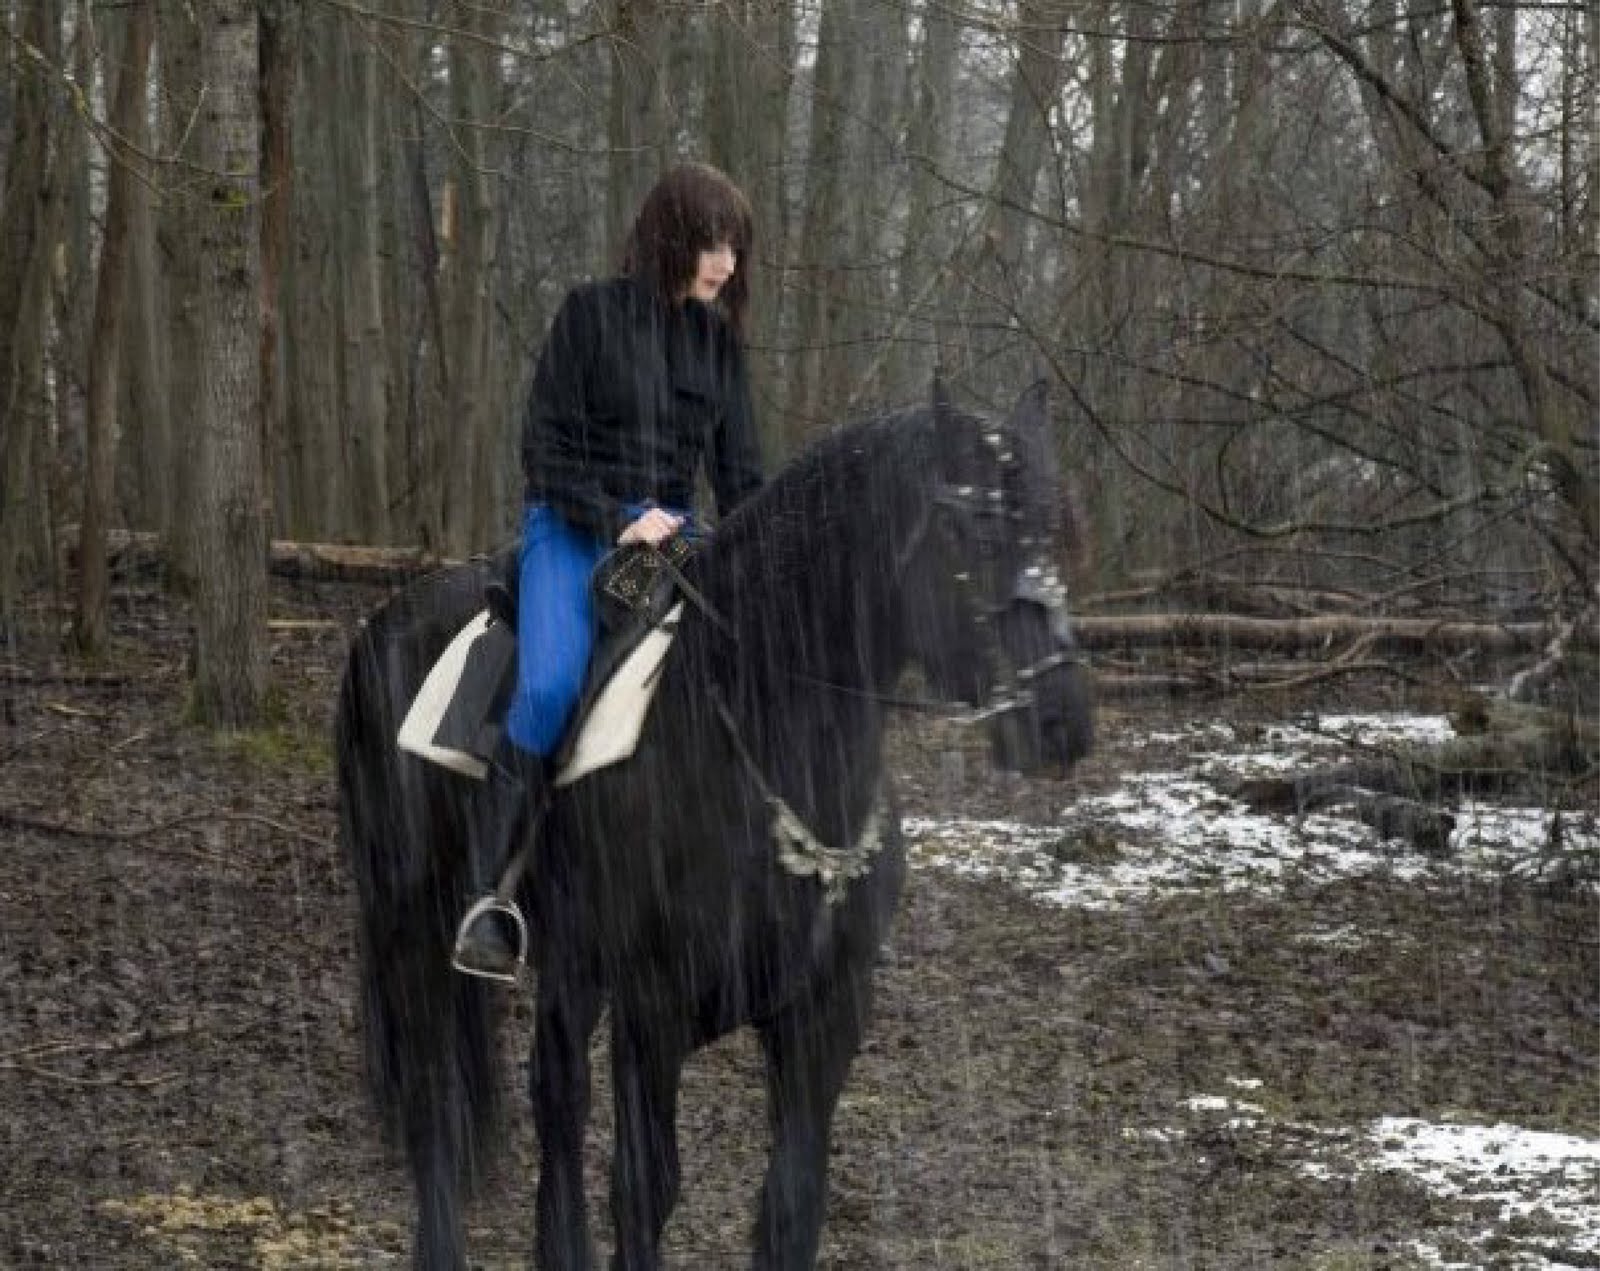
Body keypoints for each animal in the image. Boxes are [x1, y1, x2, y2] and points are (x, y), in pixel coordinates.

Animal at [335, 379, 1095, 1270]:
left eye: (1055, 530)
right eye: (965, 528)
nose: (1060, 720)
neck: (754, 736)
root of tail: (386, 621)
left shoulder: (822, 1020)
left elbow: (792, 1202)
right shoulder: (651, 1019)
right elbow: (645, 1190)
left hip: (567, 964)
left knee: (554, 1094)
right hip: (408, 928)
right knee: (438, 1101)